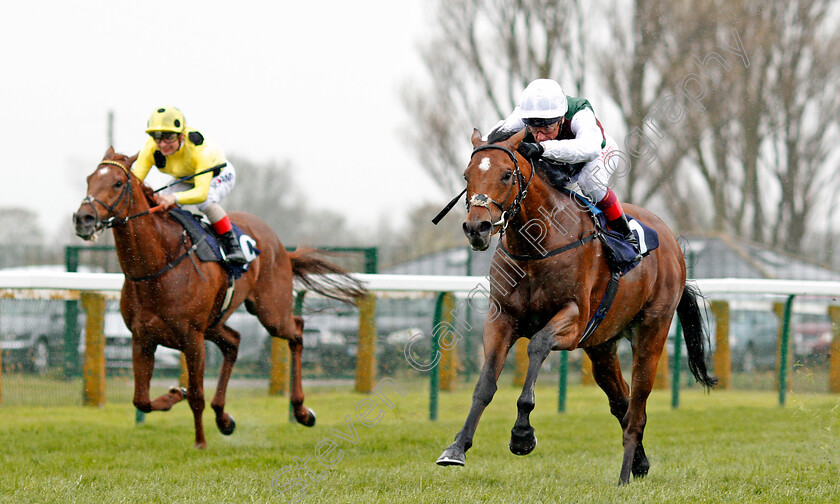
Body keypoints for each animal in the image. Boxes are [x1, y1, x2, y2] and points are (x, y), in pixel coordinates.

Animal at [74, 149, 368, 448]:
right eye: (89, 179)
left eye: (117, 183)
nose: (83, 218)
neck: (157, 265)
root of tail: (280, 246)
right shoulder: (142, 338)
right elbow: (141, 400)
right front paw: (175, 395)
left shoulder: (192, 339)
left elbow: (195, 395)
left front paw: (200, 442)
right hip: (215, 323)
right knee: (234, 342)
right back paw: (224, 418)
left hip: (270, 312)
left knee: (296, 329)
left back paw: (301, 411)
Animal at [434, 129, 716, 484]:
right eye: (467, 175)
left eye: (507, 174)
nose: (477, 228)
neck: (536, 246)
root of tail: (672, 243)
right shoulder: (501, 319)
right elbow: (485, 383)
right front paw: (457, 447)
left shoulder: (574, 319)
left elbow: (538, 345)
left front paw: (522, 434)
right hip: (602, 346)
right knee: (622, 402)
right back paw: (639, 464)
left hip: (652, 332)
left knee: (637, 406)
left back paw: (624, 476)